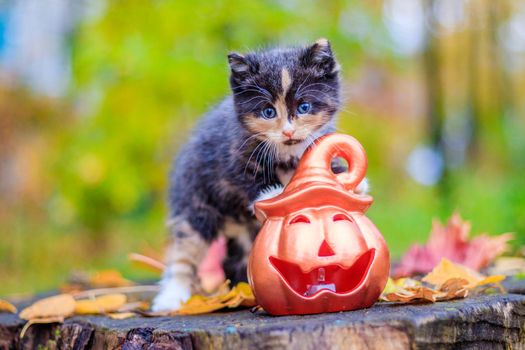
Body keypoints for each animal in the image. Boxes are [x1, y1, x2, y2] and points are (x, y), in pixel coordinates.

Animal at [151, 39, 364, 312]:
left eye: (304, 107)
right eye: (268, 112)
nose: (288, 132)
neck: (287, 151)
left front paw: (350, 184)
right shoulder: (232, 155)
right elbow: (247, 178)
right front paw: (276, 192)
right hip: (195, 200)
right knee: (185, 250)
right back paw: (171, 297)